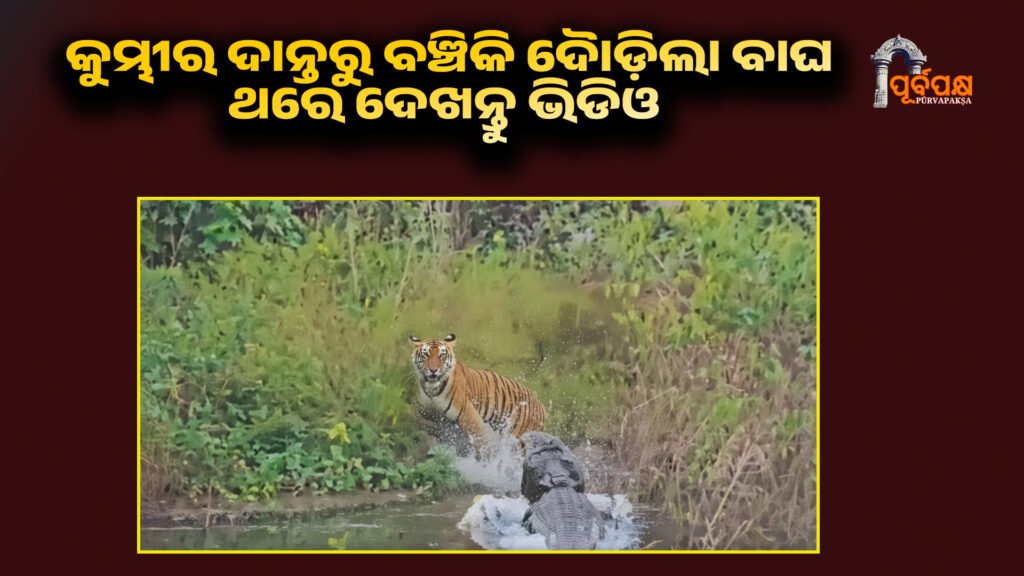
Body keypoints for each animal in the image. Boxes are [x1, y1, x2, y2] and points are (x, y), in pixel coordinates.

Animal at [409, 333, 546, 459]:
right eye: (425, 354)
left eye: (442, 355)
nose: (433, 370)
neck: (432, 391)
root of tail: (541, 405)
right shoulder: (428, 421)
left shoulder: (470, 419)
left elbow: (481, 446)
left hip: (520, 439)